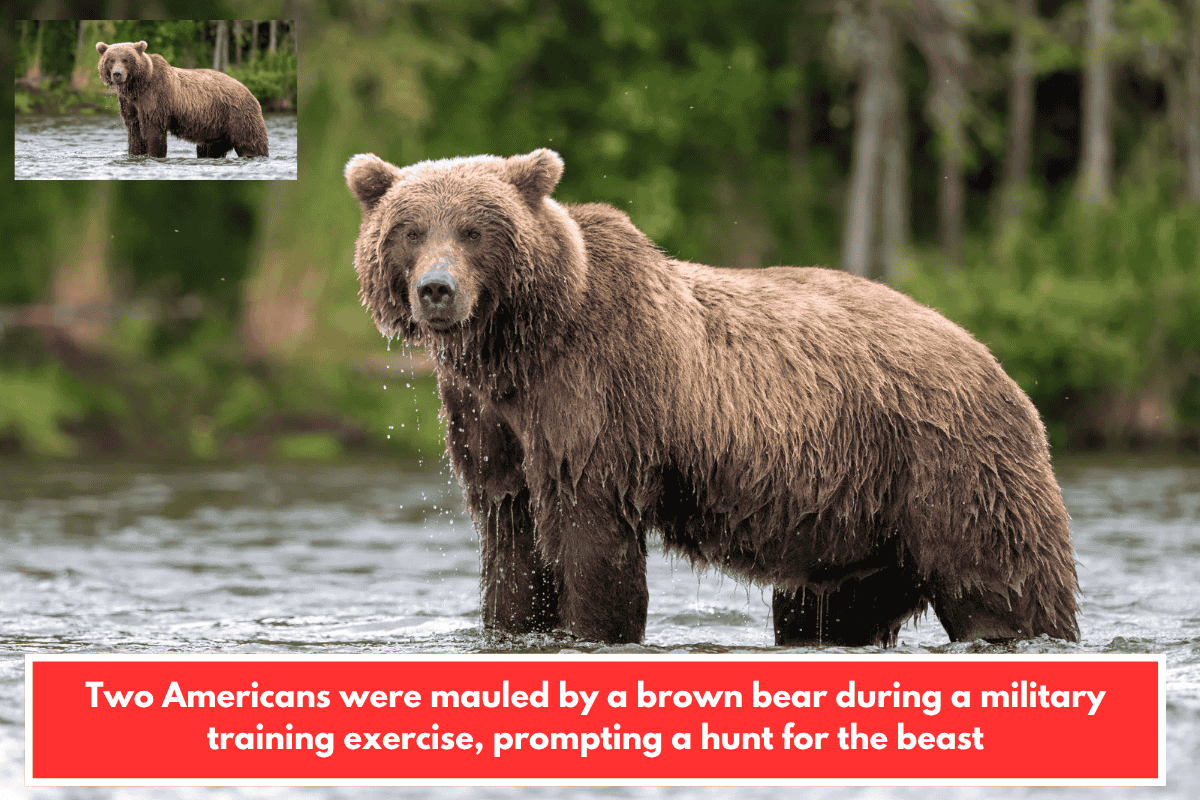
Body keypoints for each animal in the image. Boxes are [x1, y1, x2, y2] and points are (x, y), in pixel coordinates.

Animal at [96, 41, 269, 158]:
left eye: (126, 59)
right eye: (111, 59)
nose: (117, 74)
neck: (137, 86)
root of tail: (249, 91)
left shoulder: (155, 98)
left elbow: (154, 132)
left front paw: (154, 153)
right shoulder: (130, 105)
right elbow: (135, 134)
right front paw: (135, 153)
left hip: (237, 116)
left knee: (251, 143)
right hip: (216, 128)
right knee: (210, 149)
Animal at [345, 149, 1080, 647]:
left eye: (473, 229)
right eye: (411, 228)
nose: (437, 290)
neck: (521, 346)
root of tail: (997, 364)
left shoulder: (597, 400)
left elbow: (592, 542)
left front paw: (594, 626)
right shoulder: (490, 422)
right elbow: (512, 544)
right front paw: (514, 623)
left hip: (950, 470)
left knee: (1004, 587)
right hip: (859, 522)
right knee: (831, 610)